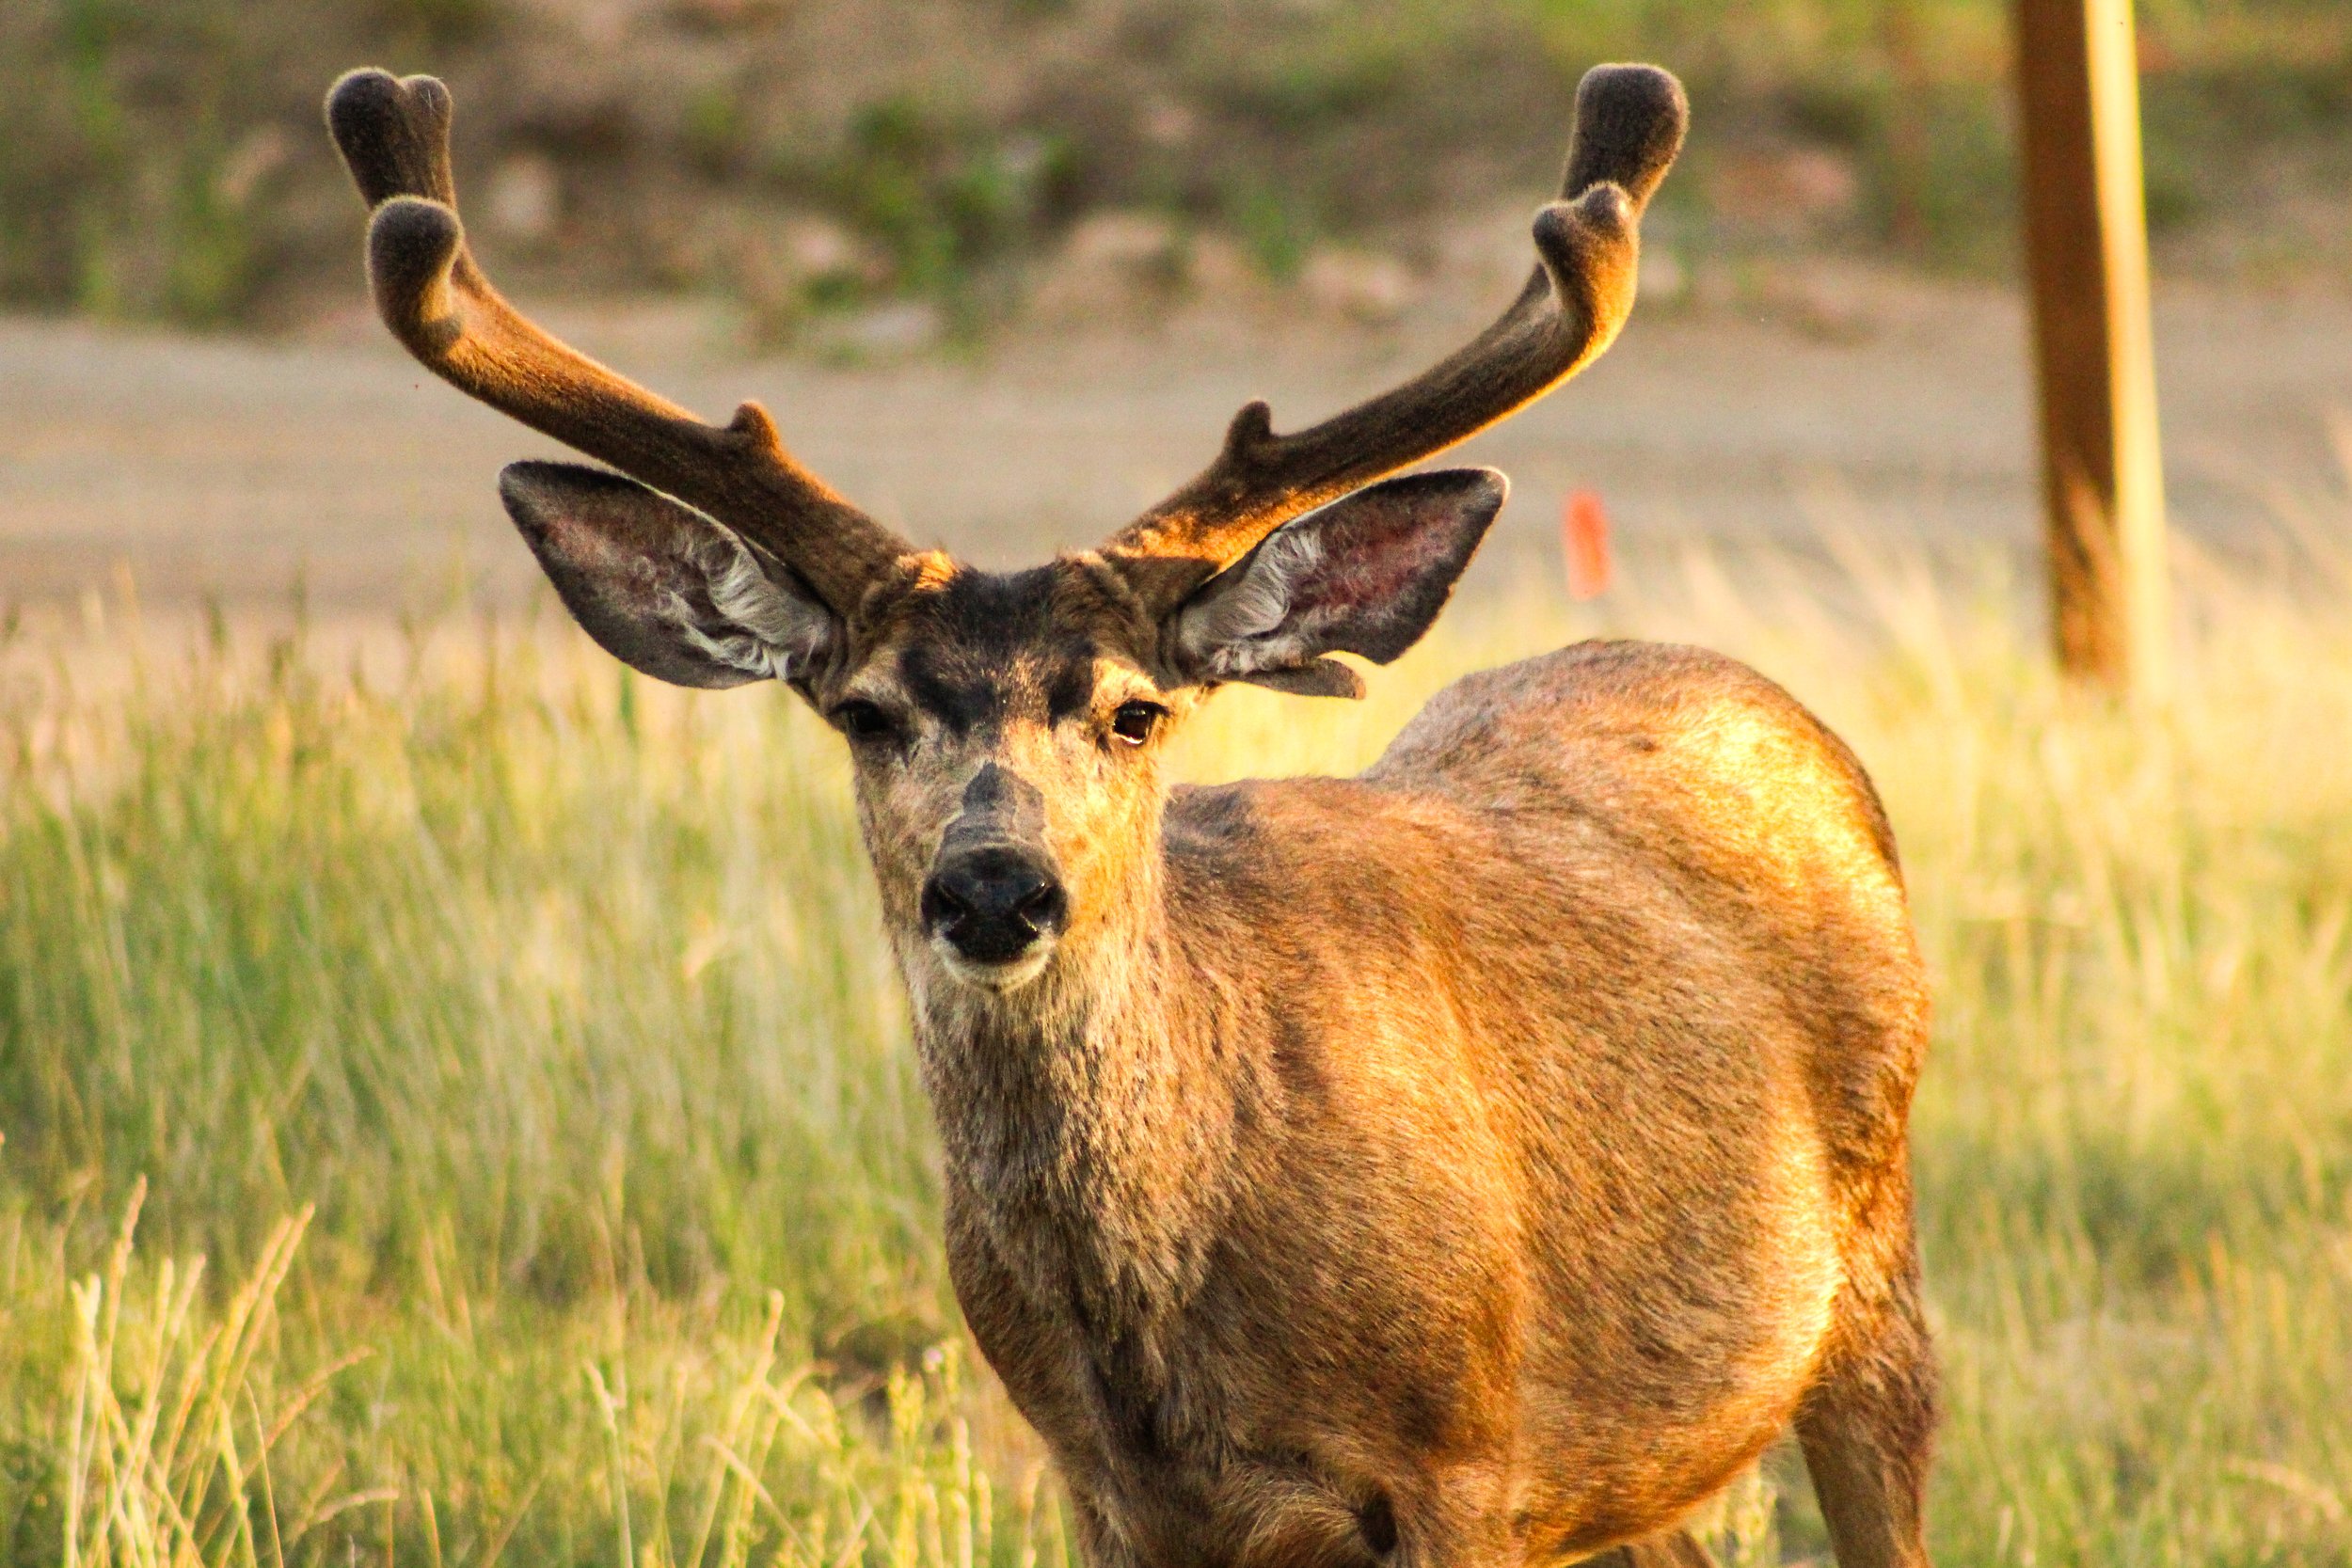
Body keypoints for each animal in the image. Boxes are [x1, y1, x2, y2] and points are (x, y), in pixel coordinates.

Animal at [326, 61, 1936, 1568]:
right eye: (867, 712)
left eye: (1134, 710)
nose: (993, 886)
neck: (1166, 1343)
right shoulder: (1107, 1489)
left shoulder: (1465, 1454)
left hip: (1872, 1276)